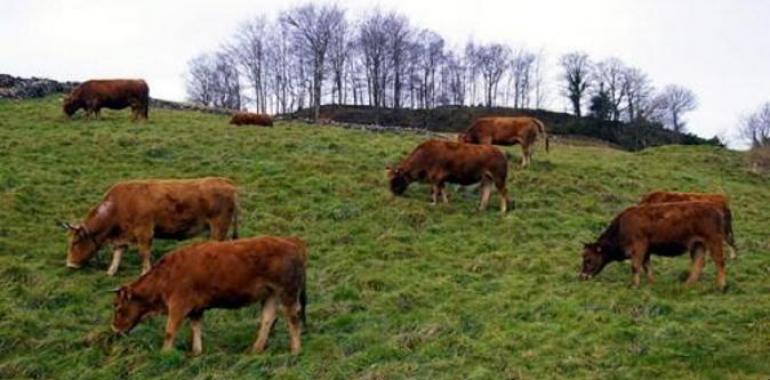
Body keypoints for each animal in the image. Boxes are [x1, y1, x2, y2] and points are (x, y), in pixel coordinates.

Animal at [63, 178, 237, 276]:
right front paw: (111, 271)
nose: (70, 264)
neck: (118, 205)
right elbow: (118, 254)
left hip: (219, 227)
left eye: (75, 242)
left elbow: (144, 253)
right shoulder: (122, 236)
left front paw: (145, 272)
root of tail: (226, 182)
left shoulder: (144, 232)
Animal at [109, 236, 308, 354]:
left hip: (288, 293)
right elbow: (196, 329)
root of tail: (293, 242)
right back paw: (255, 349)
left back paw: (295, 350)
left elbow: (170, 331)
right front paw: (197, 352)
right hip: (271, 295)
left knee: (293, 319)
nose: (114, 328)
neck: (166, 275)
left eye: (118, 308)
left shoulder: (178, 307)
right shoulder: (196, 309)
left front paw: (165, 352)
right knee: (267, 319)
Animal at [584, 200, 728, 290]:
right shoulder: (646, 251)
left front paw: (634, 285)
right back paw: (687, 285)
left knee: (719, 261)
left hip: (713, 240)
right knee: (698, 263)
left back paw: (721, 286)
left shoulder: (639, 247)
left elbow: (635, 266)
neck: (622, 226)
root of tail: (715, 208)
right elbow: (647, 267)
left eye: (588, 259)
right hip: (698, 244)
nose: (582, 276)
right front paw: (651, 283)